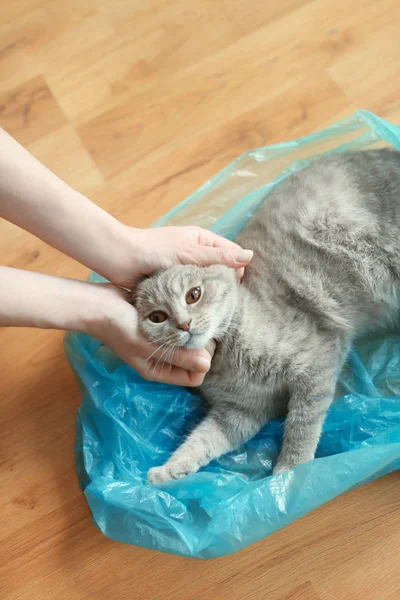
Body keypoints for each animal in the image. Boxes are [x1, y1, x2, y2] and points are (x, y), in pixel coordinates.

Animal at [133, 150, 400, 482]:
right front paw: (170, 469)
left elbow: (301, 424)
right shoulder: (239, 413)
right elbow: (202, 441)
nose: (184, 323)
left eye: (193, 295)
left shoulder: (316, 365)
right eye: (157, 317)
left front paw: (290, 470)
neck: (228, 365)